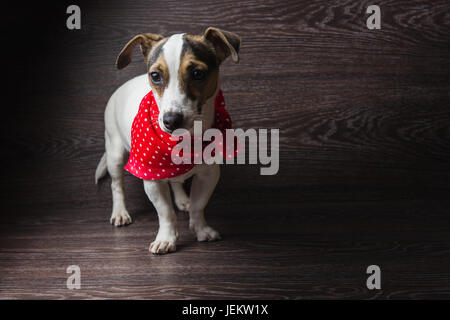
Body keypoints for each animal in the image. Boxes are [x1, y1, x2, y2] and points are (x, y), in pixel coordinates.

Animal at [95, 27, 241, 254]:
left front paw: (201, 229)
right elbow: (165, 212)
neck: (184, 142)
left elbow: (199, 205)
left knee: (176, 181)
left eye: (198, 74)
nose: (171, 120)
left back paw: (182, 199)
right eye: (155, 76)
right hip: (115, 153)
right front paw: (166, 238)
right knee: (117, 184)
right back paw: (120, 212)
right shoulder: (152, 179)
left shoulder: (209, 174)